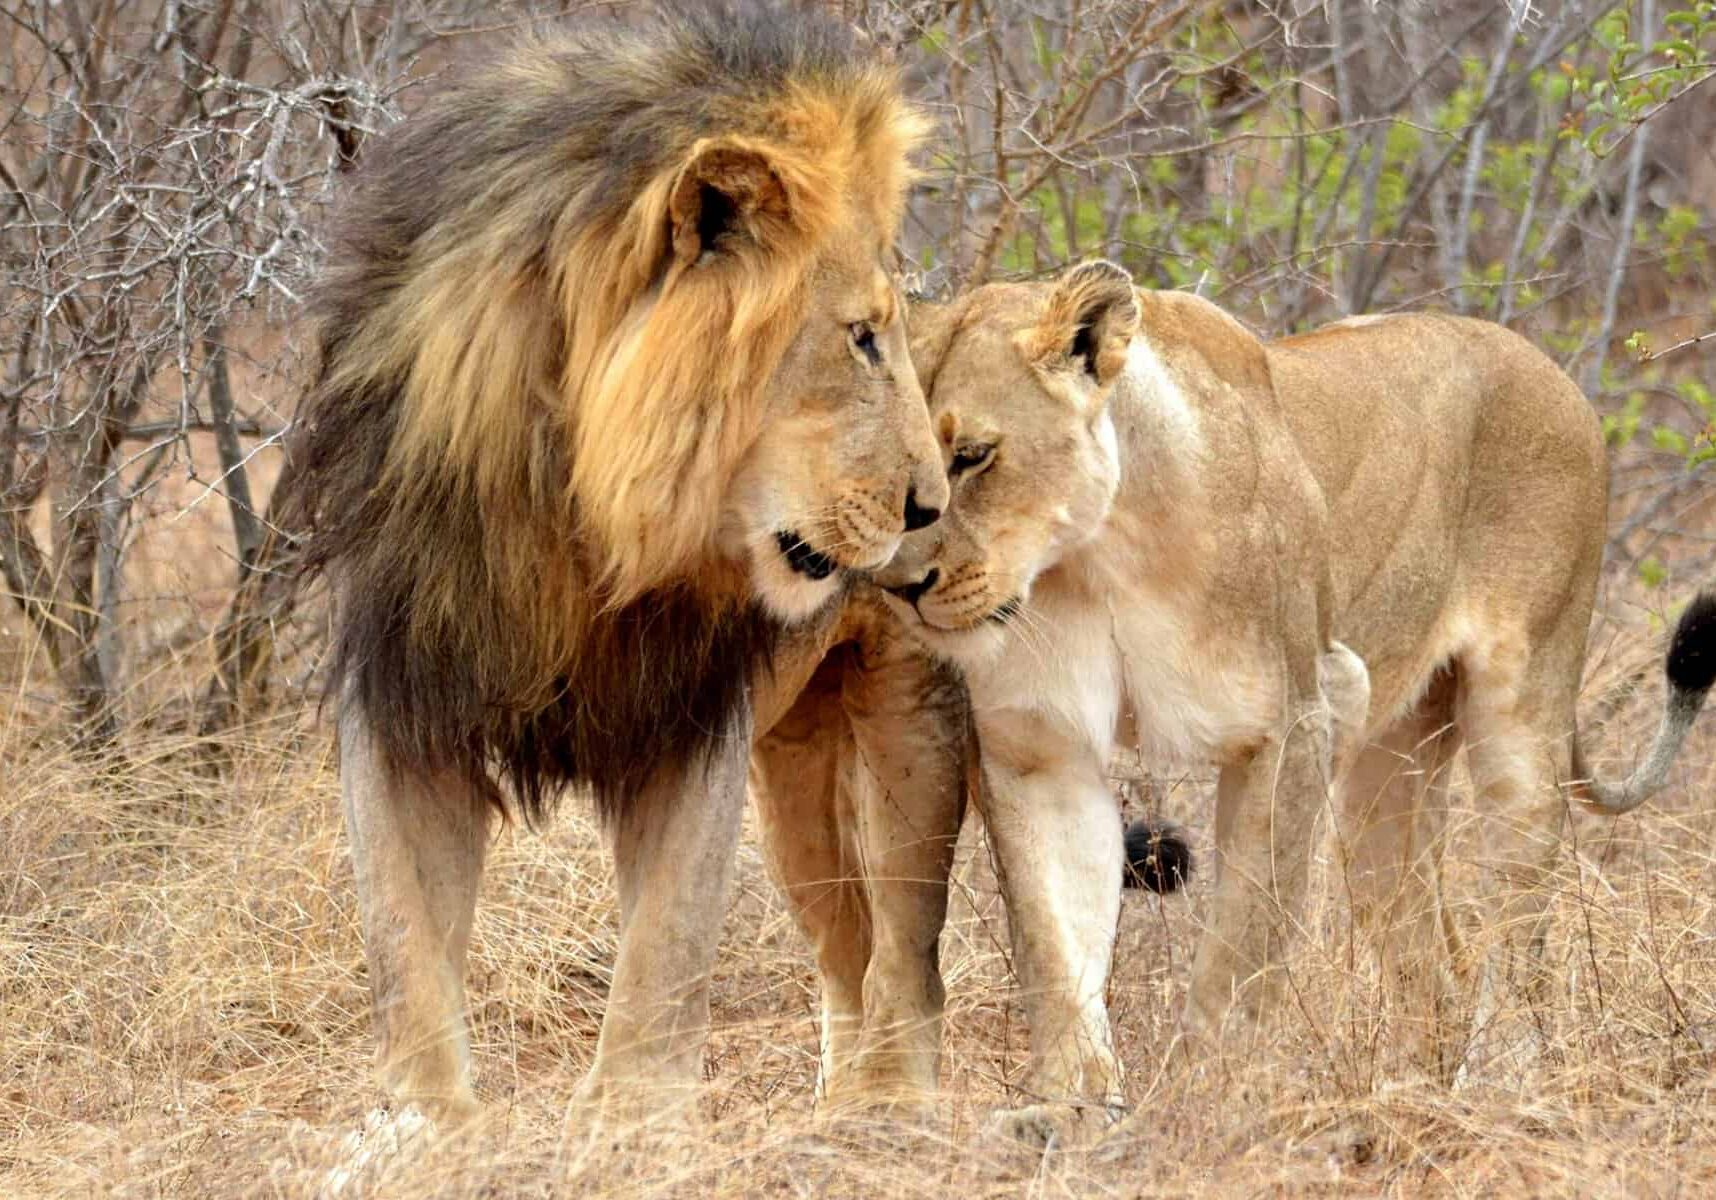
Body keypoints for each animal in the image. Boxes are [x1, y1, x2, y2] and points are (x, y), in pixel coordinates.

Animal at [284, 3, 970, 1127]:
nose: (931, 506)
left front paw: (628, 1127)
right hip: (794, 783)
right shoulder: (407, 695)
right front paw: (426, 1127)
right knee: (845, 949)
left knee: (908, 955)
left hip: (913, 730)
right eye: (863, 338)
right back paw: (832, 1109)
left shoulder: (686, 722)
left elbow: (663, 953)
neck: (573, 515)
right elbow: (402, 941)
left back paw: (890, 1114)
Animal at [818, 260, 1714, 1142]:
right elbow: (1054, 941)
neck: (1099, 556)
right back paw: (1411, 1097)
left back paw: (1497, 1087)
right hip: (1384, 783)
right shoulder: (1040, 749)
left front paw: (1209, 1101)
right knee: (1431, 950)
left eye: (973, 455)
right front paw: (1072, 1112)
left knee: (1516, 927)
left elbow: (1244, 942)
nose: (897, 585)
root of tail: (1549, 368)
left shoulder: (1302, 713)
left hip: (1520, 721)